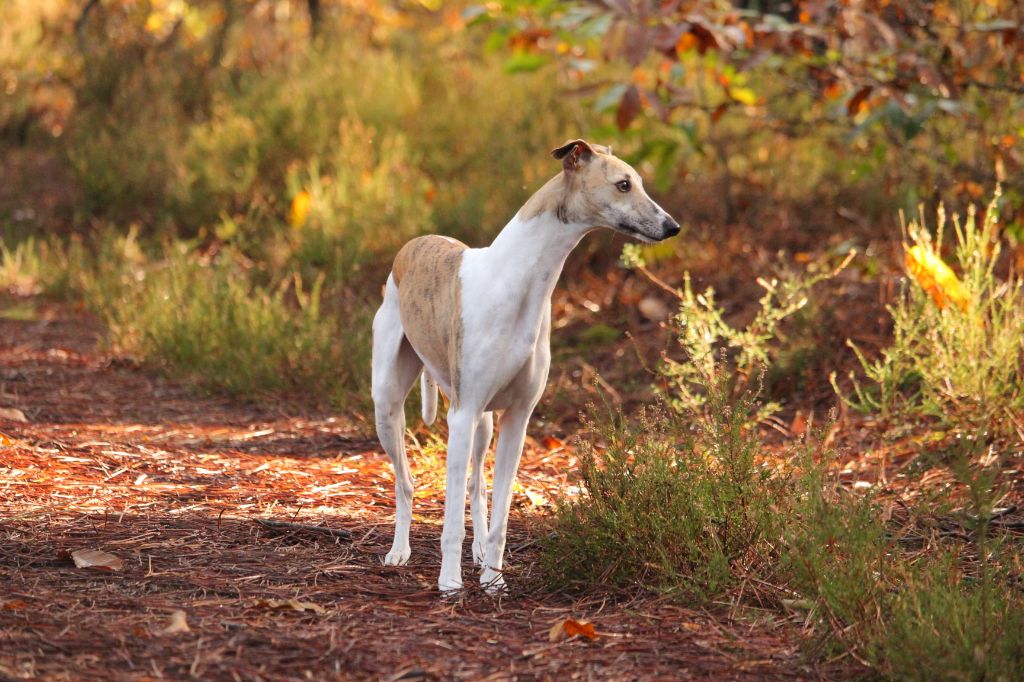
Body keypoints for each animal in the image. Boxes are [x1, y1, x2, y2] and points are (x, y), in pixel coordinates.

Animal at [370, 138, 679, 589]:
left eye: (638, 182)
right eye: (623, 184)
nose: (673, 227)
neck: (516, 281)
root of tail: (412, 245)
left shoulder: (516, 419)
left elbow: (499, 513)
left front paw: (493, 580)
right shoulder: (461, 414)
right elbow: (450, 521)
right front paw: (450, 584)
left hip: (482, 424)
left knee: (476, 486)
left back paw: (479, 554)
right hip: (390, 405)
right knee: (406, 482)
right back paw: (399, 550)